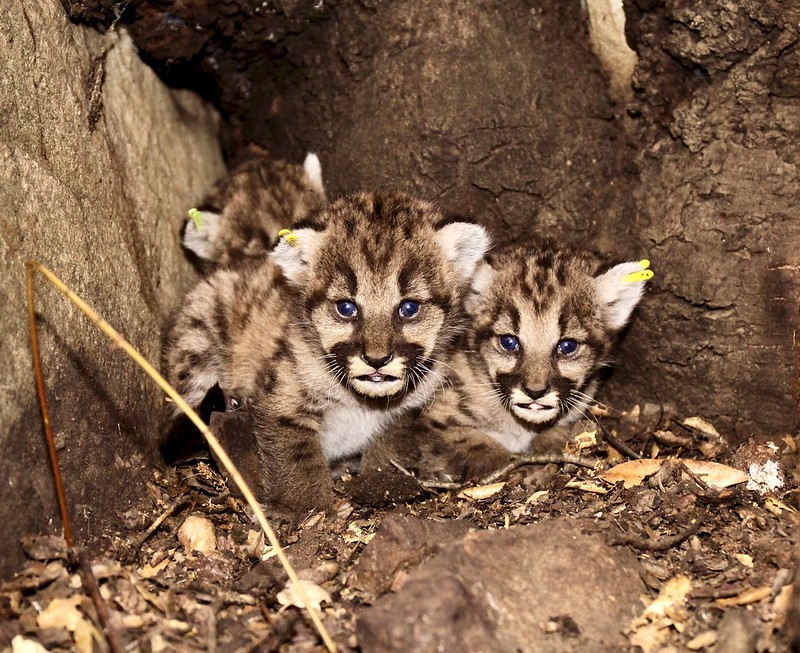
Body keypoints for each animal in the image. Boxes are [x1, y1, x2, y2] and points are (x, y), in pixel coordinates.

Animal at [162, 191, 488, 516]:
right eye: (346, 308)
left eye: (409, 308)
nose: (377, 359)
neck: (363, 403)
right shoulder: (282, 400)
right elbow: (297, 458)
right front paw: (302, 509)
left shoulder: (413, 410)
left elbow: (392, 447)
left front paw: (382, 483)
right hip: (198, 339)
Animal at [366, 239, 652, 478]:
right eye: (509, 342)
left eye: (567, 346)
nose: (535, 392)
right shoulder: (422, 420)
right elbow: (470, 442)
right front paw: (512, 466)